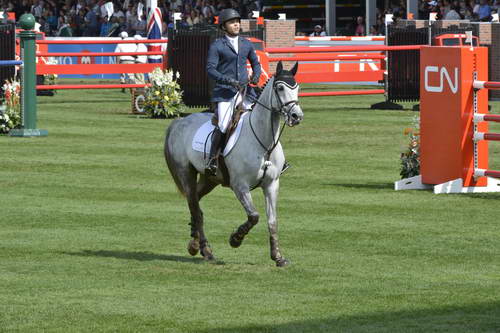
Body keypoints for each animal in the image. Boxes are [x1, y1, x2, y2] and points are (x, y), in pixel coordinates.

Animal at [164, 61, 304, 266]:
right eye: (280, 88)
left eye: (297, 88)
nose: (296, 116)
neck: (264, 144)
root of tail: (179, 121)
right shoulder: (240, 186)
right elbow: (254, 216)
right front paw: (235, 239)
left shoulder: (272, 185)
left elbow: (272, 220)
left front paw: (278, 257)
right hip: (186, 173)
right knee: (195, 207)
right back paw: (205, 250)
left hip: (209, 179)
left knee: (195, 203)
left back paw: (194, 243)